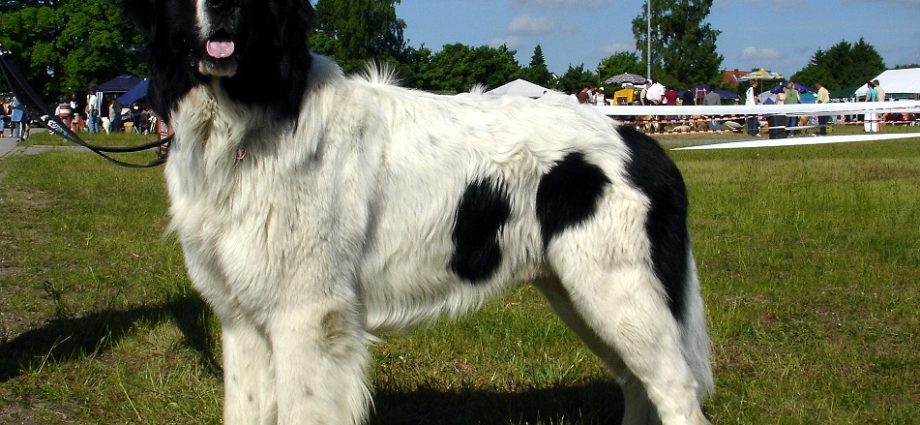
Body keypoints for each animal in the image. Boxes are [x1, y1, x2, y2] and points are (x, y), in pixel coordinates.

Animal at [122, 0, 712, 424]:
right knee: (638, 386)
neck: (252, 114)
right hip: (580, 295)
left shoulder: (307, 317)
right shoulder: (241, 319)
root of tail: (642, 144)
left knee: (675, 392)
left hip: (619, 292)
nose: (223, 3)